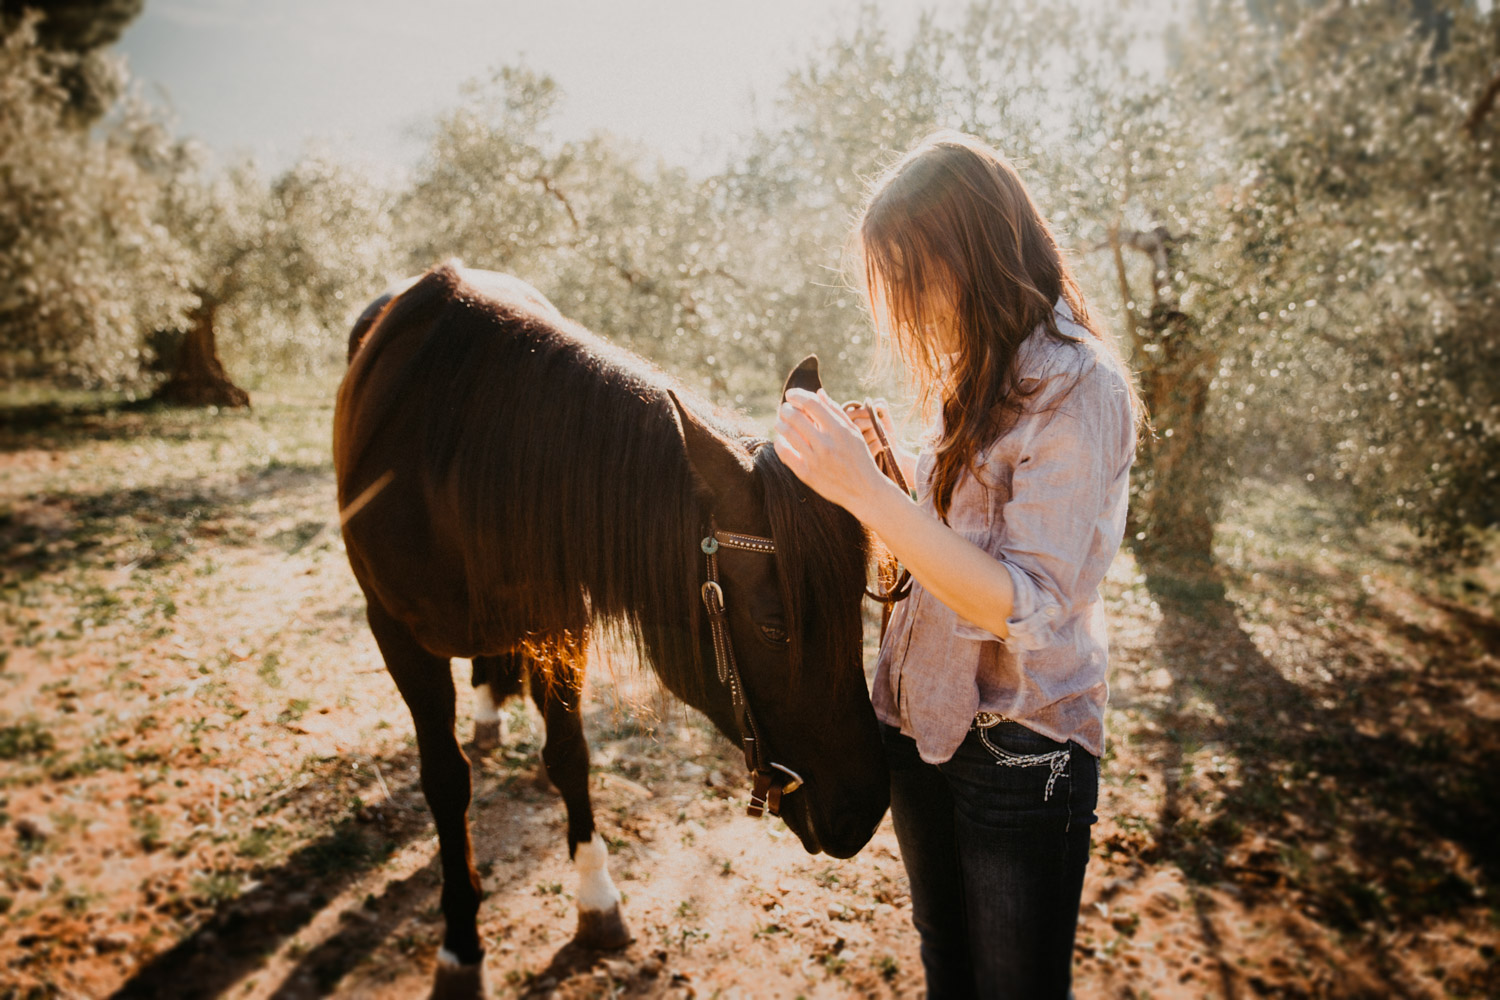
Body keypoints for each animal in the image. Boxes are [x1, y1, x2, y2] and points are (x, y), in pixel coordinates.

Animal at [334, 262, 882, 995]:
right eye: (774, 629)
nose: (868, 808)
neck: (449, 460)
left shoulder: (559, 622)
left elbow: (570, 755)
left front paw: (595, 899)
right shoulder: (395, 635)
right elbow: (445, 782)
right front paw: (460, 946)